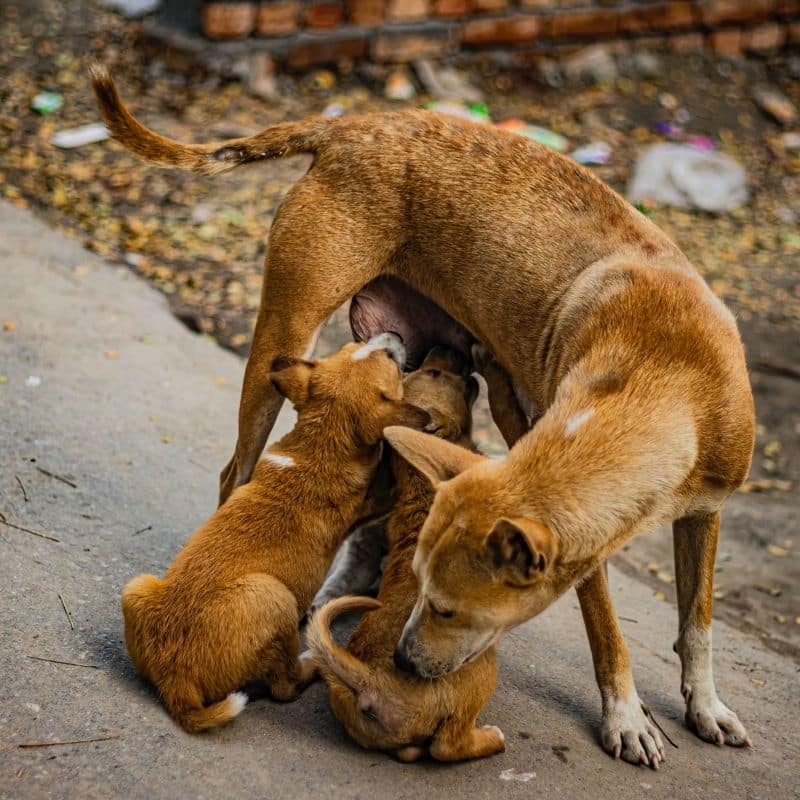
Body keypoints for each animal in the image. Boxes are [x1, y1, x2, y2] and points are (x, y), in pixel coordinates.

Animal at [119, 334, 428, 736]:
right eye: (391, 359)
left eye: (350, 346)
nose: (396, 336)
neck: (318, 445)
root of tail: (175, 683)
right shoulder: (380, 499)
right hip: (275, 597)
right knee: (285, 686)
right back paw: (312, 662)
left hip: (135, 587)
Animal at [308, 346, 504, 764]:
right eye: (435, 373)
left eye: (424, 371)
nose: (442, 347)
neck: (417, 481)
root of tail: (370, 681)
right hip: (479, 670)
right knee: (448, 746)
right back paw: (490, 739)